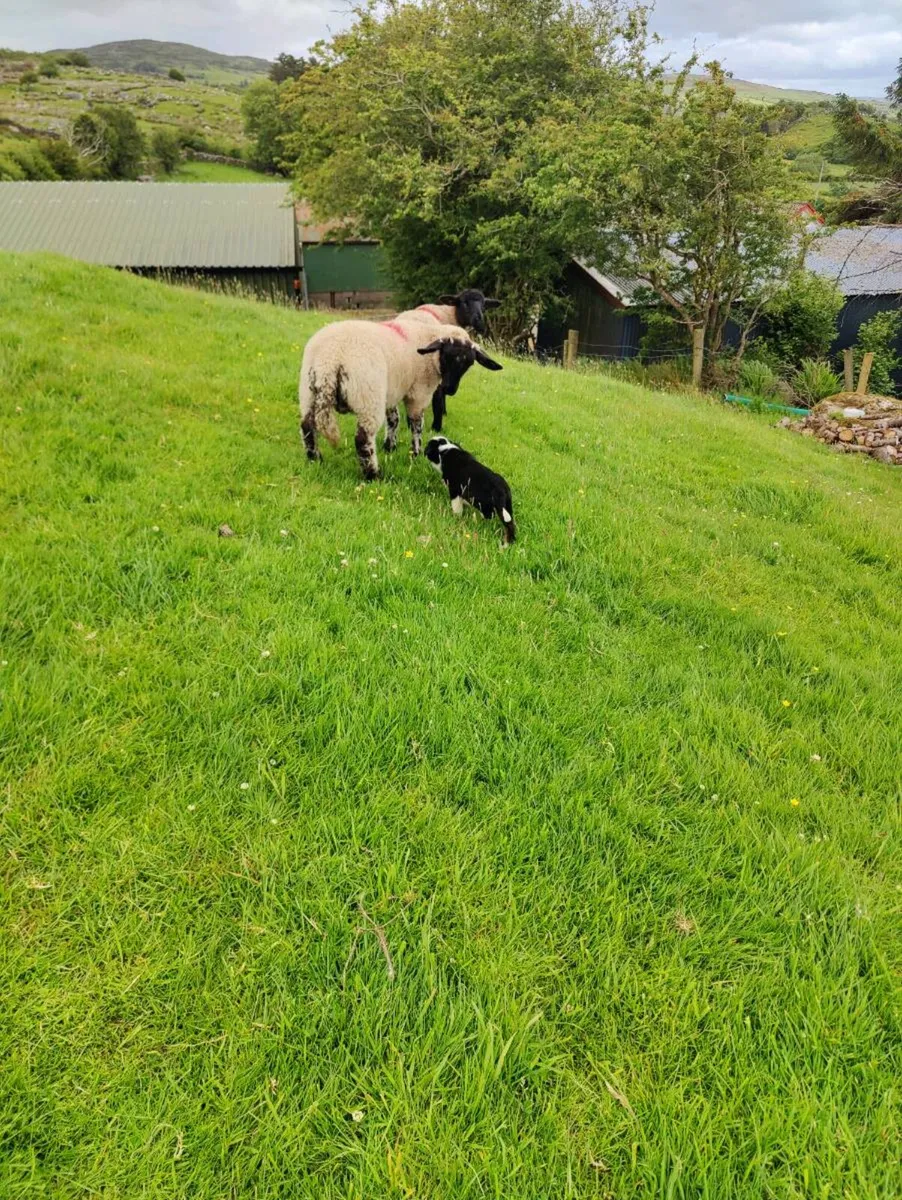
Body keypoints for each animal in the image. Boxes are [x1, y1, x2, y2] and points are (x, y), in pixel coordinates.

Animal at [299, 317, 502, 480]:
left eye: (469, 363)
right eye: (446, 356)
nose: (449, 389)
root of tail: (330, 358)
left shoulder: (393, 389)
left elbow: (394, 419)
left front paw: (390, 446)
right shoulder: (419, 393)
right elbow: (416, 424)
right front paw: (416, 452)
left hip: (308, 392)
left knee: (307, 427)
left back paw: (315, 459)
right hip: (369, 396)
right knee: (363, 439)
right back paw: (373, 475)